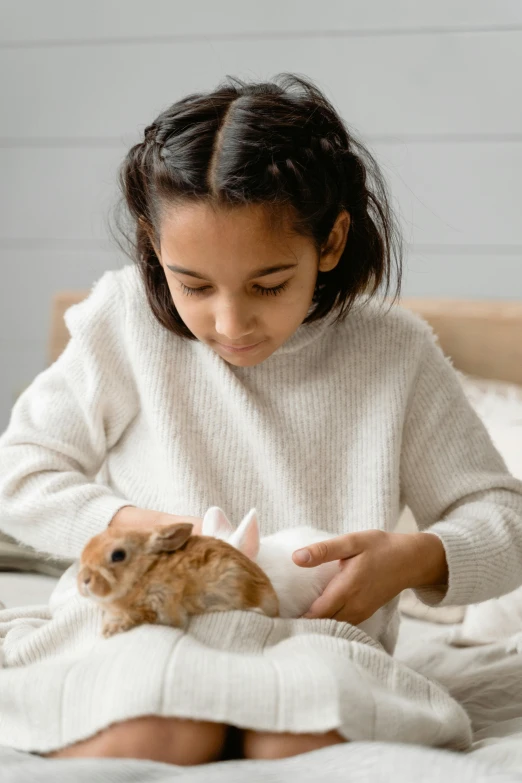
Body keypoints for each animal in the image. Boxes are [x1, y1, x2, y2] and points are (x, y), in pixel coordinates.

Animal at [77, 520, 278, 636]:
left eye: (118, 555)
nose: (84, 581)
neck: (144, 571)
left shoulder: (159, 602)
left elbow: (138, 616)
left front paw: (110, 629)